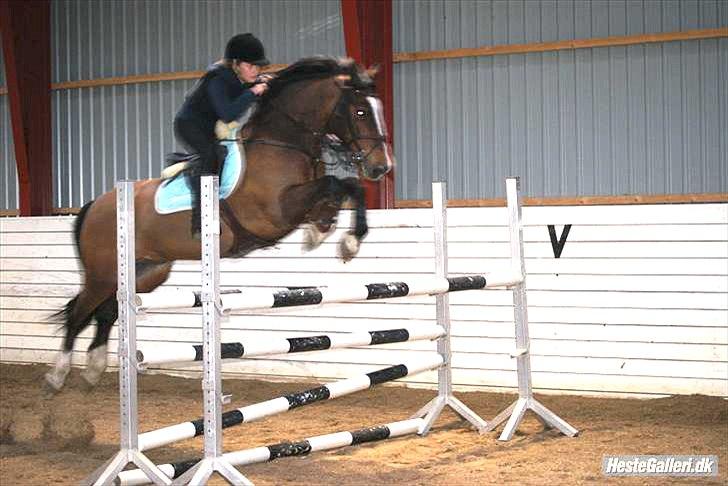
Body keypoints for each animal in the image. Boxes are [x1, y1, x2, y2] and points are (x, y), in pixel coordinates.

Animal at [47, 57, 392, 392]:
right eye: (360, 111)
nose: (382, 168)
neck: (282, 142)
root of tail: (96, 205)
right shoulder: (277, 210)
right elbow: (336, 184)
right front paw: (343, 239)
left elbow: (347, 189)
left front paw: (330, 233)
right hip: (102, 273)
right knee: (79, 312)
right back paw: (58, 375)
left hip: (145, 272)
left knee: (108, 311)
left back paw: (93, 369)